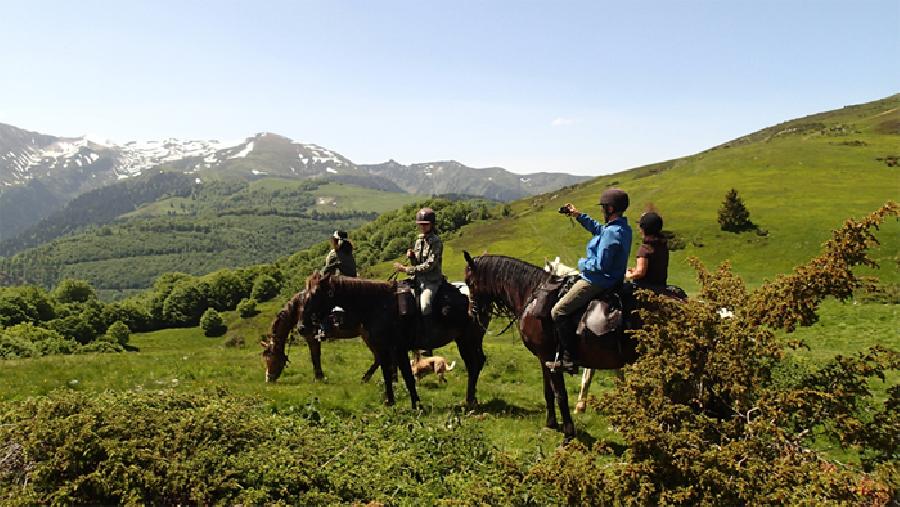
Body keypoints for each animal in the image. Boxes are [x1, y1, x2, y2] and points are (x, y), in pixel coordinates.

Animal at [300, 274, 486, 408]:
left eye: (315, 294)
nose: (302, 326)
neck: (379, 306)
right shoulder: (387, 349)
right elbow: (391, 374)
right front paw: (393, 401)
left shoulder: (396, 348)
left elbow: (404, 375)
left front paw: (413, 404)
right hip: (466, 341)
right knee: (475, 364)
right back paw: (470, 399)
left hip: (468, 340)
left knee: (474, 365)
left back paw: (469, 401)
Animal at [464, 252, 640, 442]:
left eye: (469, 282)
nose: (471, 312)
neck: (532, 297)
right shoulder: (544, 359)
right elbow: (548, 391)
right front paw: (551, 424)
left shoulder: (551, 358)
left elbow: (561, 394)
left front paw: (568, 433)